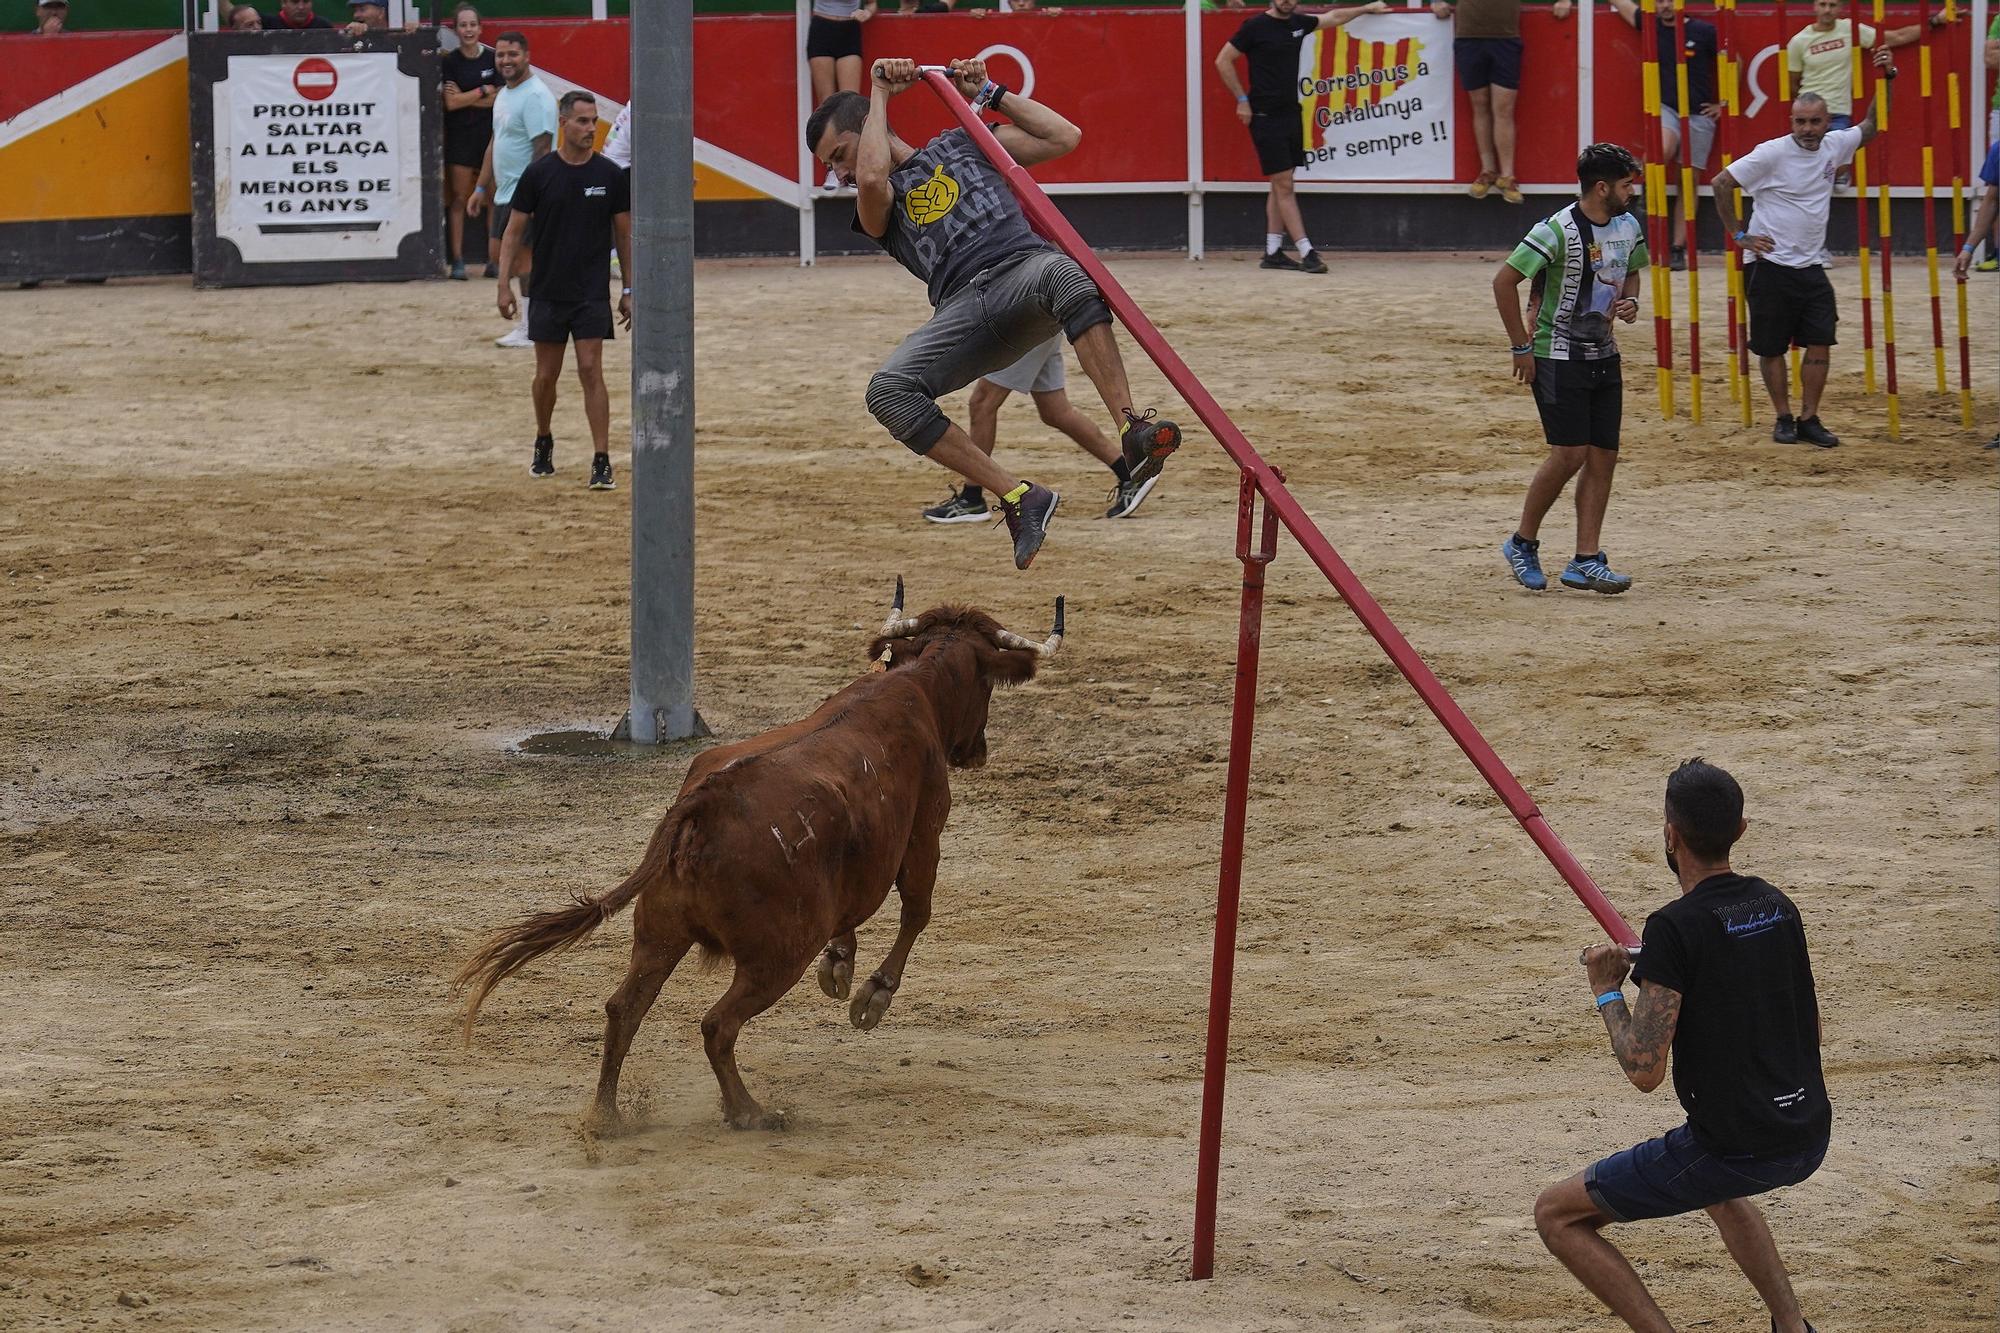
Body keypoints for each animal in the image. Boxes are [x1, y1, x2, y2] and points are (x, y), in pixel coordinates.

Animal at [452, 580, 1064, 1128]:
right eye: (985, 684)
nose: (977, 750)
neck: (914, 685)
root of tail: (704, 805)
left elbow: (855, 912)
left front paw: (840, 965)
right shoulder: (925, 830)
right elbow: (917, 911)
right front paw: (871, 995)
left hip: (659, 933)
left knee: (623, 1010)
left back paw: (606, 1117)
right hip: (776, 958)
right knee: (717, 1026)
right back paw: (748, 1111)